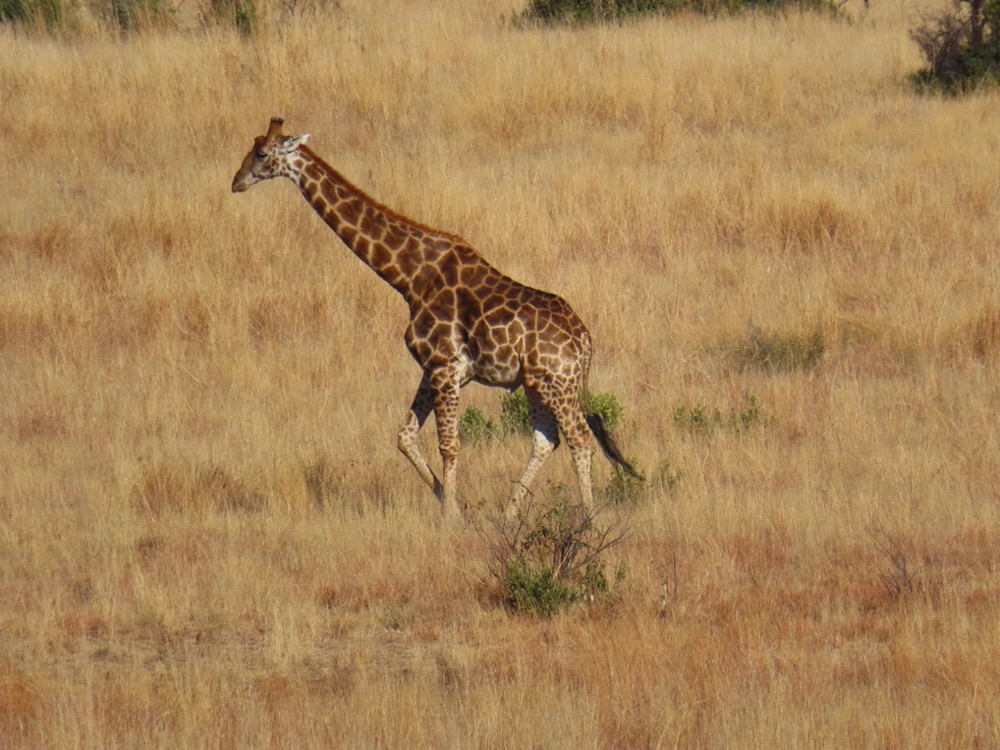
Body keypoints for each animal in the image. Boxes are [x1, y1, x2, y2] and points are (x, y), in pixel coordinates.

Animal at [232, 118, 640, 520]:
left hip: (557, 381)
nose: (237, 182)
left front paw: (450, 516)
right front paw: (449, 501)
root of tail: (585, 342)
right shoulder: (433, 368)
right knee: (545, 439)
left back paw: (587, 518)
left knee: (579, 437)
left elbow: (449, 443)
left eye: (262, 153)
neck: (410, 277)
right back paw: (508, 514)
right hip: (534, 382)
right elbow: (405, 436)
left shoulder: (445, 366)